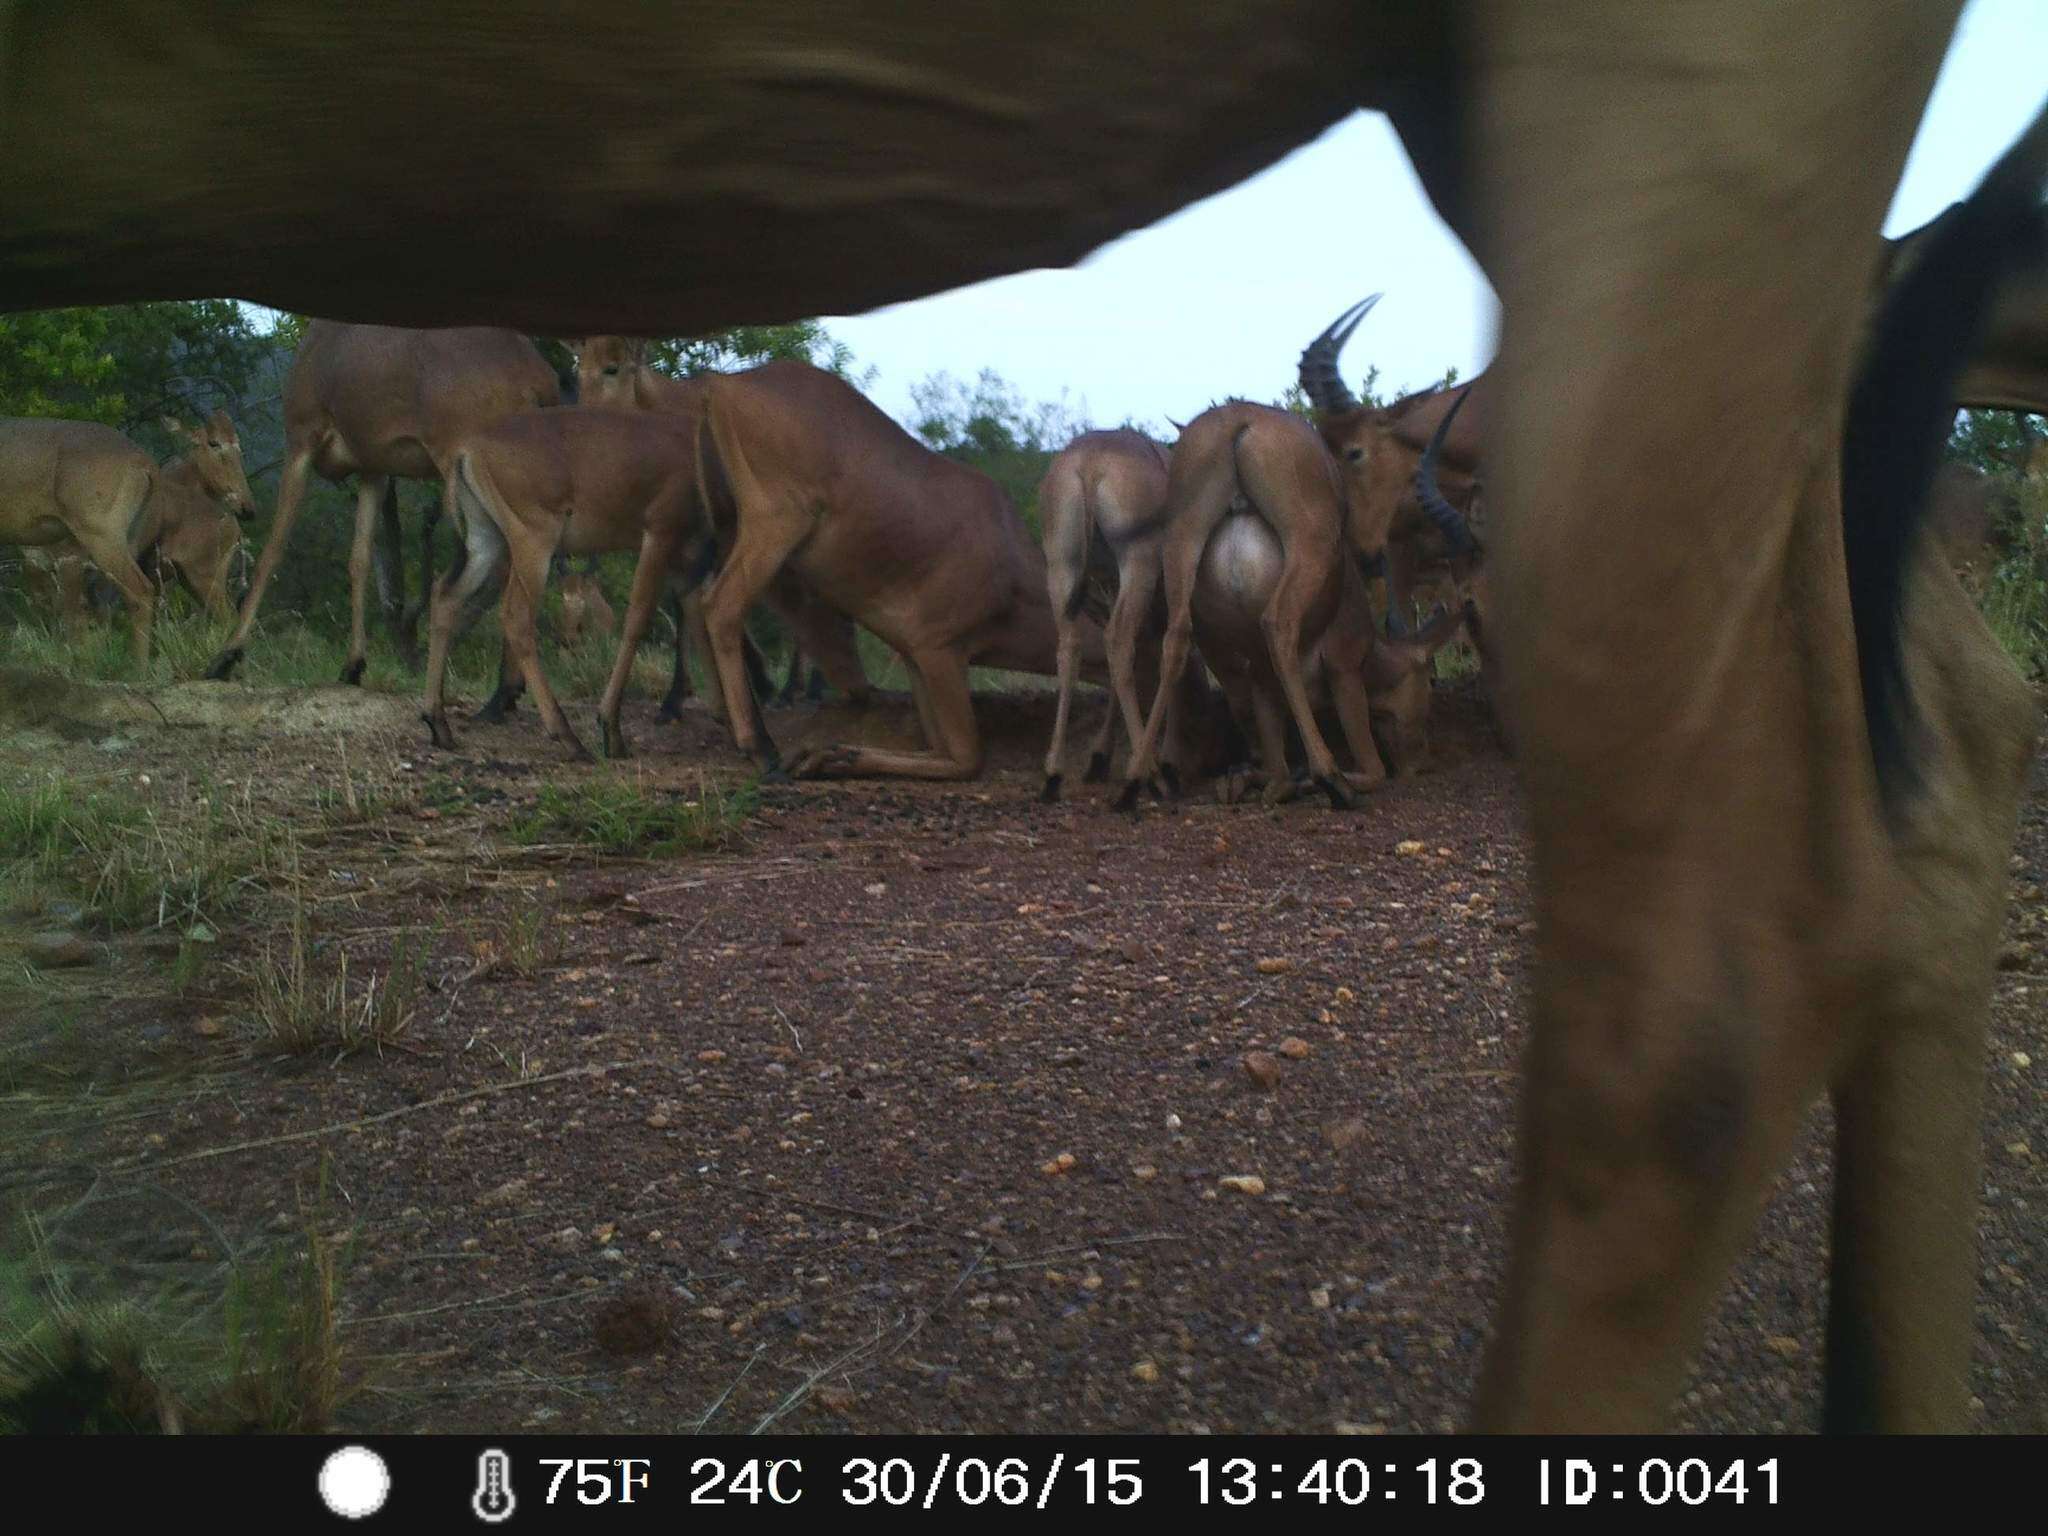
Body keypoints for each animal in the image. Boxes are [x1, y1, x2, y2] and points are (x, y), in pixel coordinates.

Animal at [2, 409, 256, 667]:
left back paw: (139, 668)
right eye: (214, 443)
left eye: (238, 446)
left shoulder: (70, 560)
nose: (247, 507)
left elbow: (75, 619)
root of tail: (144, 465)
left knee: (144, 595)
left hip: (115, 545)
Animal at [207, 321, 561, 684]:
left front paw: (226, 655)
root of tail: (539, 377)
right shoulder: (373, 467)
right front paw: (353, 664)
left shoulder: (301, 436)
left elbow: (273, 548)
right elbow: (359, 558)